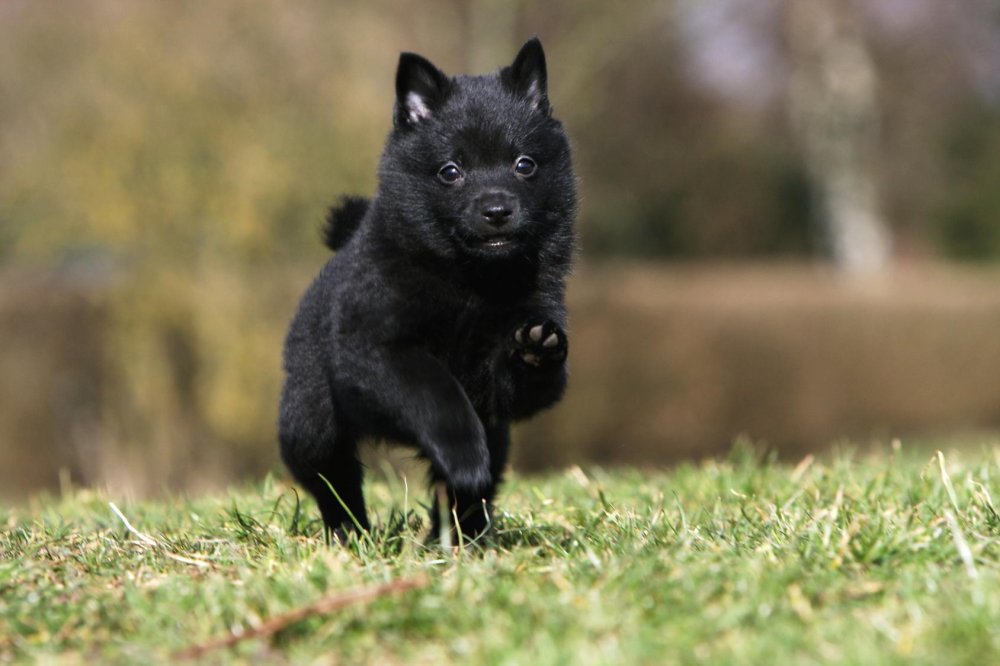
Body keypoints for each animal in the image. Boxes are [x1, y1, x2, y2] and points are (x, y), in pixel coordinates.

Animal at [280, 37, 580, 540]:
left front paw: (535, 348)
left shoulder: (495, 389)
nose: (497, 210)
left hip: (496, 439)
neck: (471, 280)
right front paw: (462, 454)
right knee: (332, 478)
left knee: (471, 489)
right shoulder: (378, 348)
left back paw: (462, 536)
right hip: (310, 420)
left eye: (524, 165)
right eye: (450, 171)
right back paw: (350, 533)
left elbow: (518, 381)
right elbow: (438, 393)